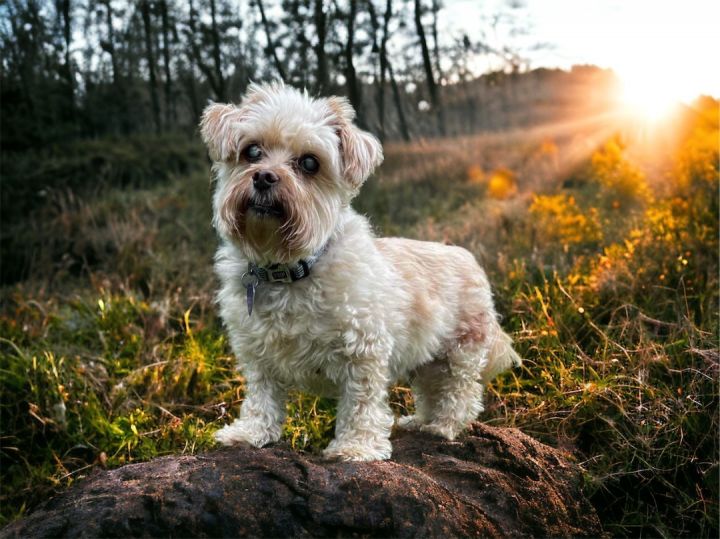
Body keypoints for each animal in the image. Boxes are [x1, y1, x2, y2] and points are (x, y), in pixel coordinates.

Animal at [200, 82, 520, 462]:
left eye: (309, 162)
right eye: (251, 151)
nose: (264, 176)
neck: (289, 269)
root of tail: (468, 258)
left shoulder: (363, 351)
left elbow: (360, 403)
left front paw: (356, 446)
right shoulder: (258, 355)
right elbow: (261, 399)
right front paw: (249, 433)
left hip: (459, 353)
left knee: (459, 393)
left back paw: (443, 426)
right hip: (426, 358)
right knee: (430, 390)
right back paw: (420, 421)